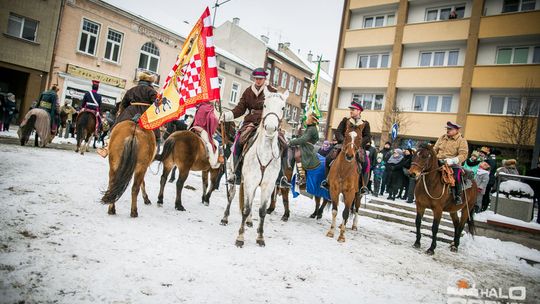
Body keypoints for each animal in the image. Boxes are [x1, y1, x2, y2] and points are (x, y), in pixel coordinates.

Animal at [220, 87, 286, 247]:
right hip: (235, 175)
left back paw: (249, 221)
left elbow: (262, 211)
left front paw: (260, 237)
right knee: (232, 194)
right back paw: (225, 217)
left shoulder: (268, 186)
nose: (270, 128)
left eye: (283, 107)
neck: (265, 153)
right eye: (265, 105)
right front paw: (240, 237)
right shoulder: (250, 181)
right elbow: (246, 208)